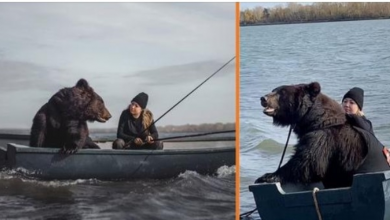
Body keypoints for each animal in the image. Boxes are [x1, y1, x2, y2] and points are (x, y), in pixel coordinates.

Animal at [258, 81, 388, 188]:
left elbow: (306, 162)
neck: (314, 119)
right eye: (274, 89)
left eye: (282, 92)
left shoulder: (323, 138)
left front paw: (266, 176)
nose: (263, 98)